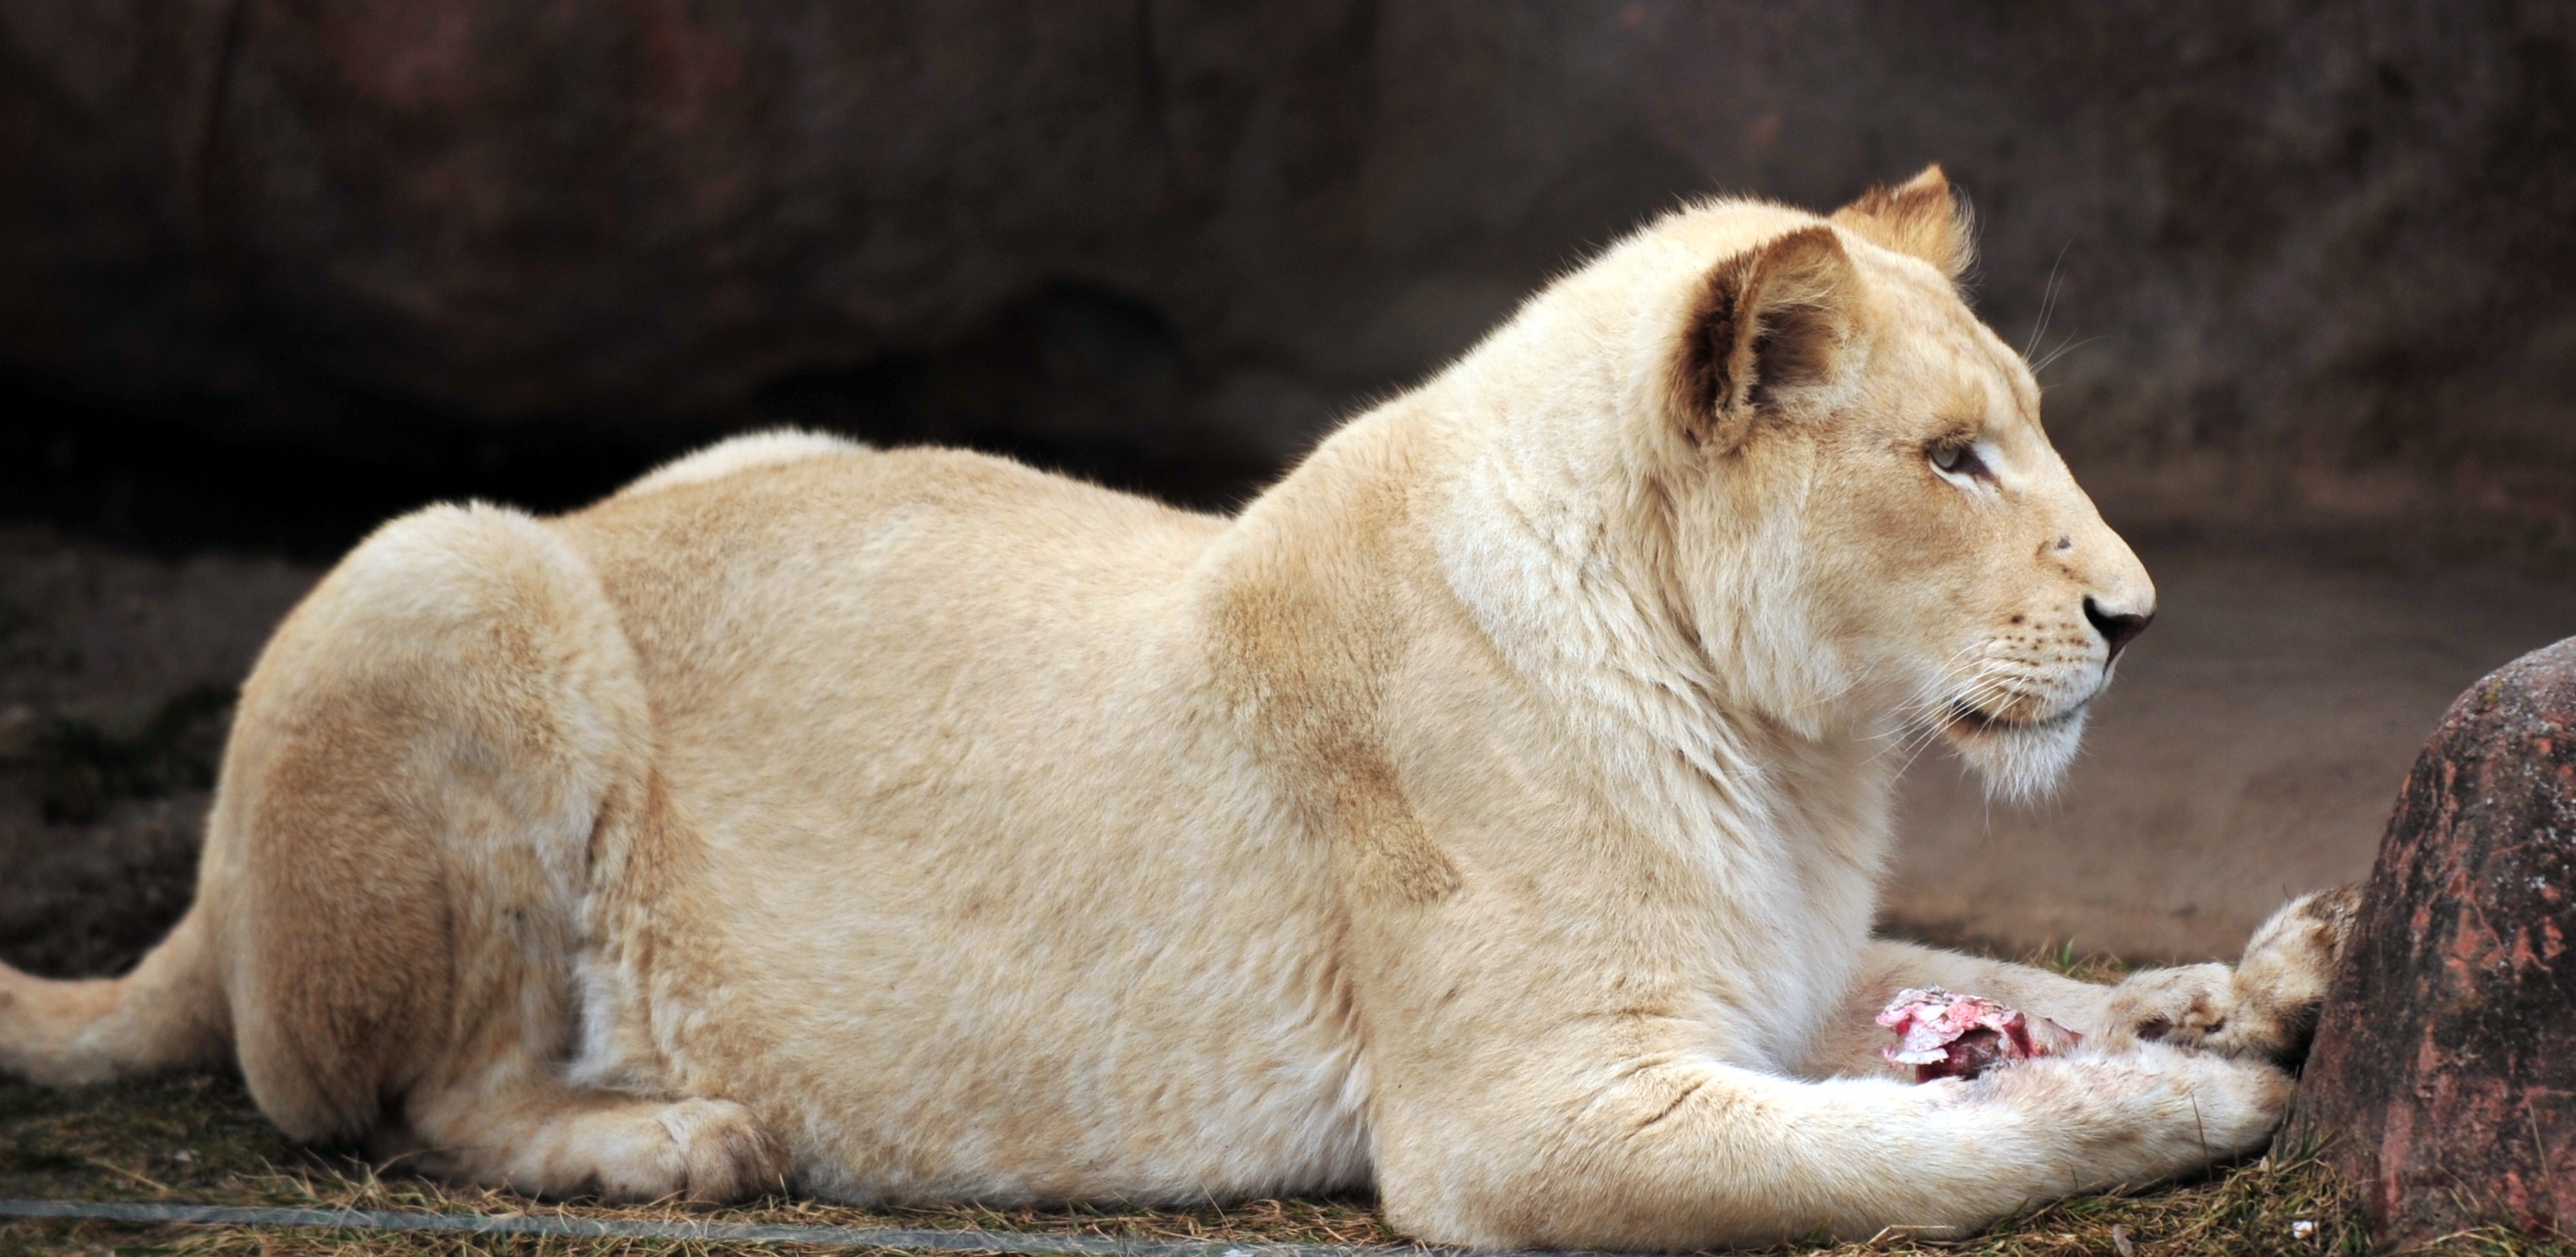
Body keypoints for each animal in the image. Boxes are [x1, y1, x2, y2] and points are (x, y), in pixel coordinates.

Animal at [0, 167, 2357, 1249]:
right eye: (1954, 457)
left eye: (2022, 429)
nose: (2138, 616)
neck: (1790, 748)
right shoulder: (1521, 1113)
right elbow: (1915, 1146)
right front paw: (2193, 1099)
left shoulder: (1770, 968)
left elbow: (1990, 980)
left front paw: (2255, 976)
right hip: (452, 559)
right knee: (391, 1096)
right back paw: (679, 1130)